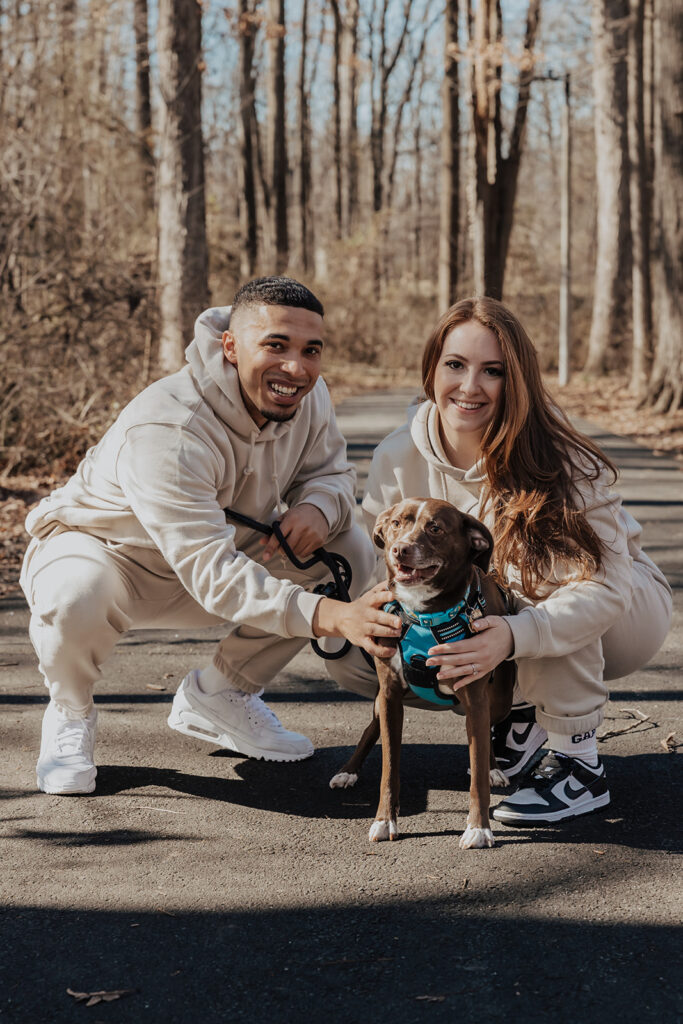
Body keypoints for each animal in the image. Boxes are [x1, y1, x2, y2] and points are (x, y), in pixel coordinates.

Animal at [329, 497, 511, 847]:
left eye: (435, 528)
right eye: (396, 523)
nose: (400, 549)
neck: (425, 615)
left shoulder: (476, 697)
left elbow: (478, 771)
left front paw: (478, 828)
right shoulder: (389, 696)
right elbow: (389, 768)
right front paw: (385, 820)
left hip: (498, 701)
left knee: (486, 735)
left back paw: (493, 768)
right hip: (380, 703)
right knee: (370, 730)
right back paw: (348, 770)